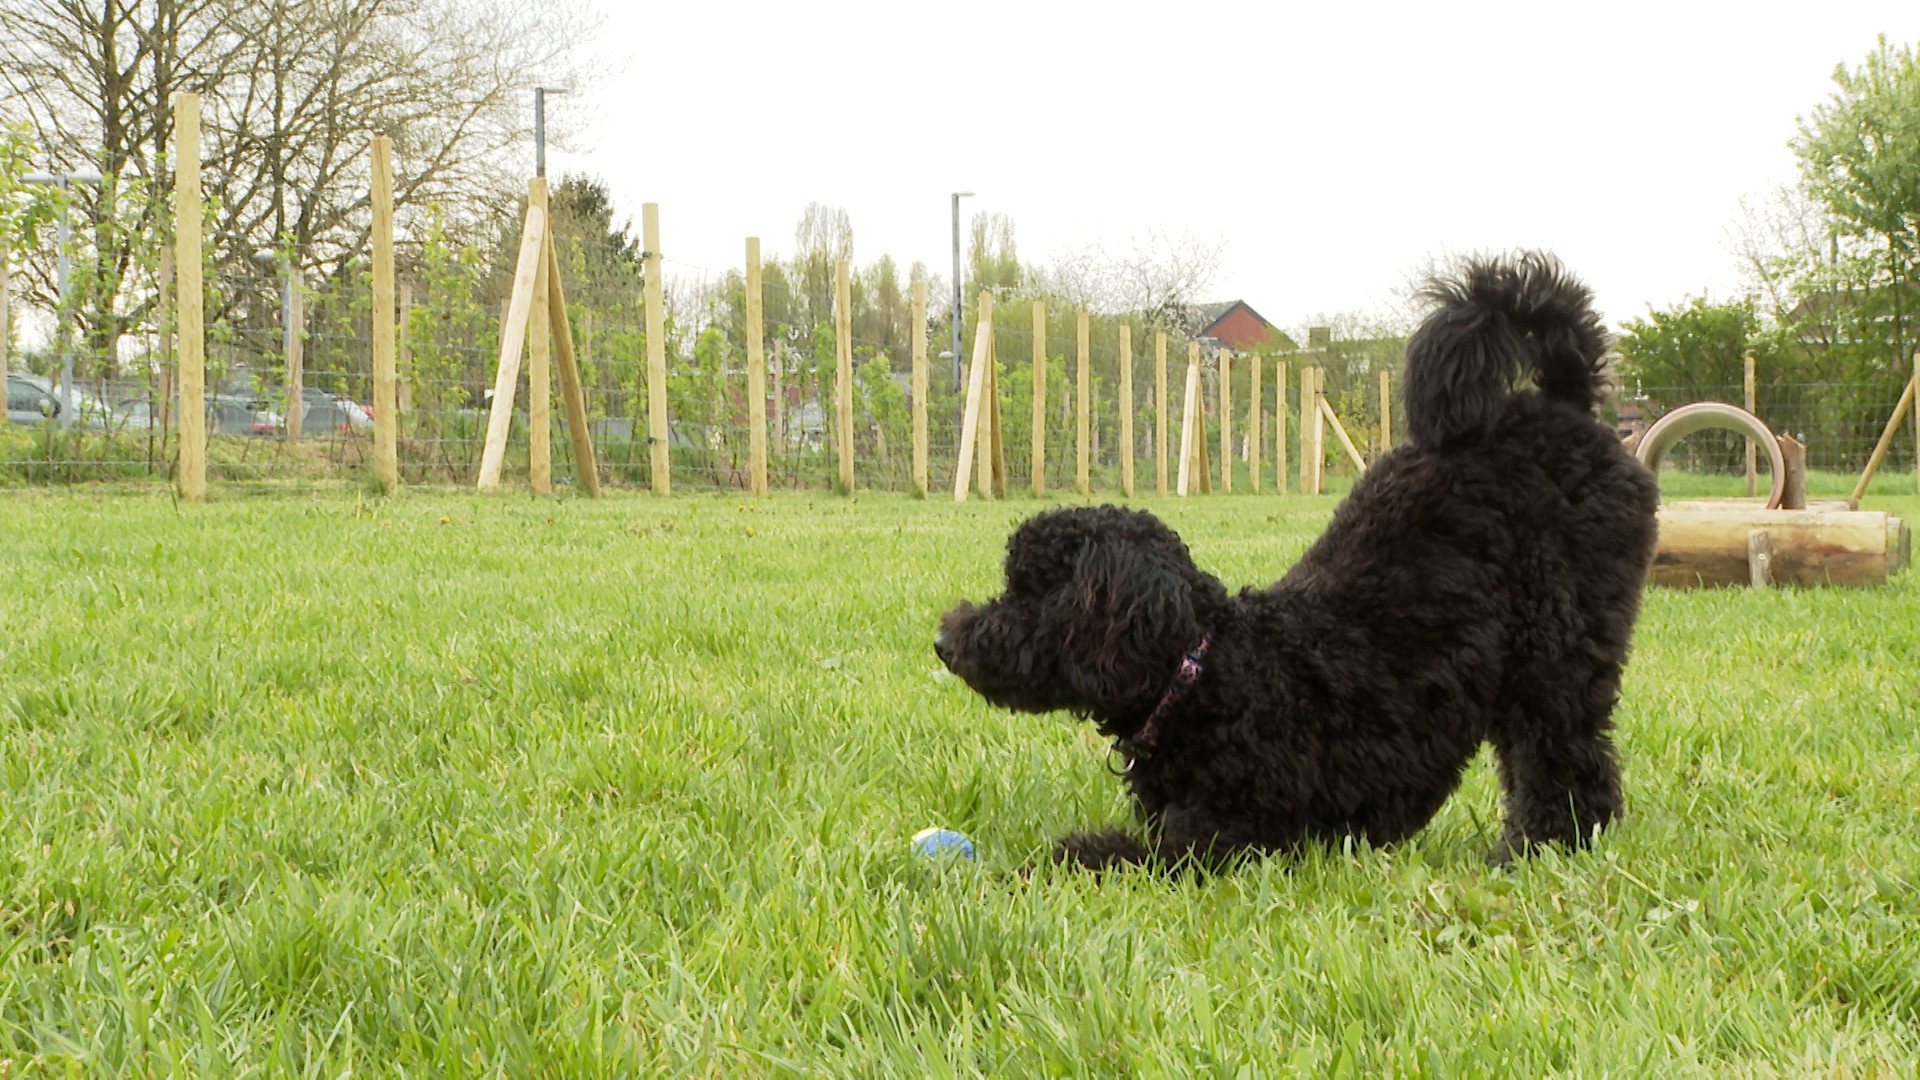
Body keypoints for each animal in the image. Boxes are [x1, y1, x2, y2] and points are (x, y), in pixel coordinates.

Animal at [934, 252, 1660, 870]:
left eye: (1027, 590)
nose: (944, 640)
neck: (1207, 669)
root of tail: (1563, 405)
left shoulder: (1215, 841)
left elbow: (1093, 855)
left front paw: (1014, 874)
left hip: (1558, 647)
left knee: (1564, 754)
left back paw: (1540, 849)